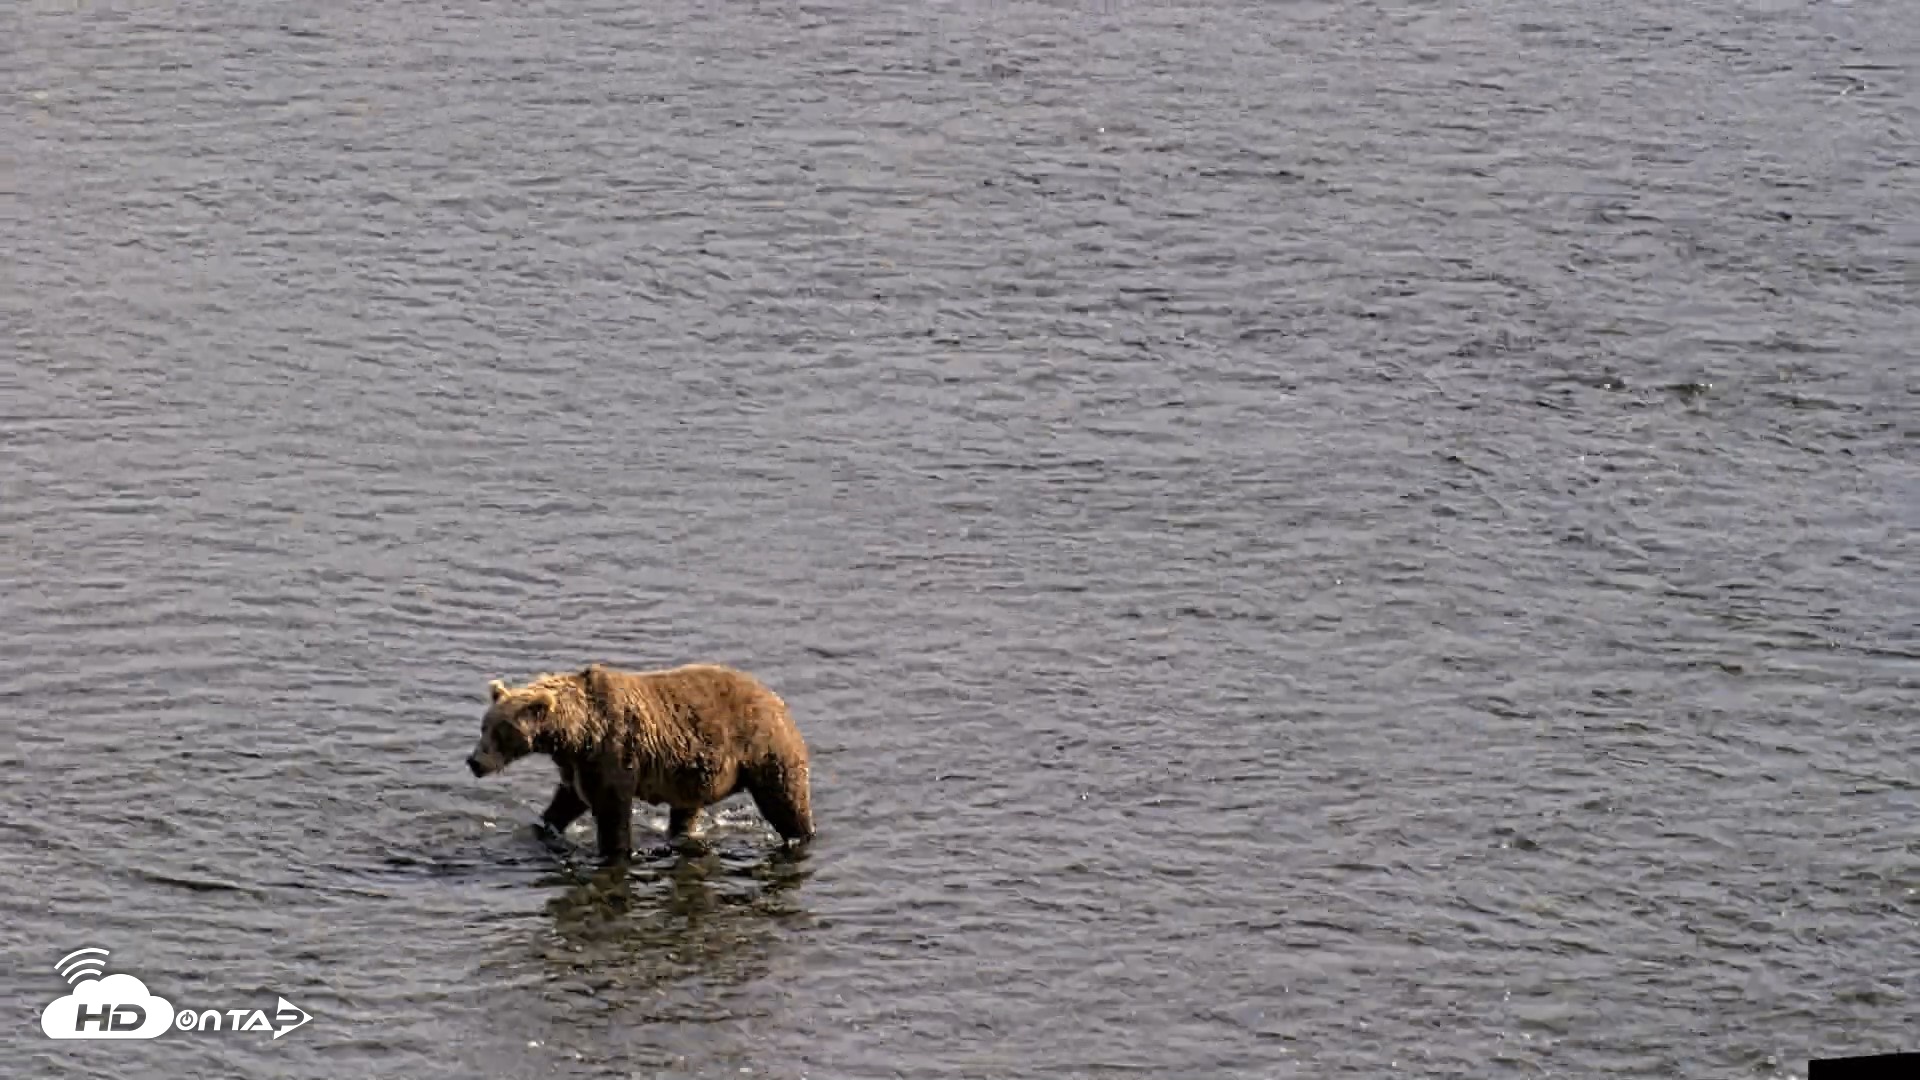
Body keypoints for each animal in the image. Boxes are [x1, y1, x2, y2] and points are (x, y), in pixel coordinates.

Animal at [465, 661, 814, 864]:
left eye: (501, 732)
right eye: (484, 726)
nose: (474, 762)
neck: (577, 733)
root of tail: (776, 699)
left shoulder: (614, 752)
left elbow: (612, 811)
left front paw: (614, 851)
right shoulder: (577, 765)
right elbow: (566, 801)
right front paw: (546, 826)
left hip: (764, 749)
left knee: (786, 801)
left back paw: (800, 836)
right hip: (695, 770)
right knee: (686, 810)